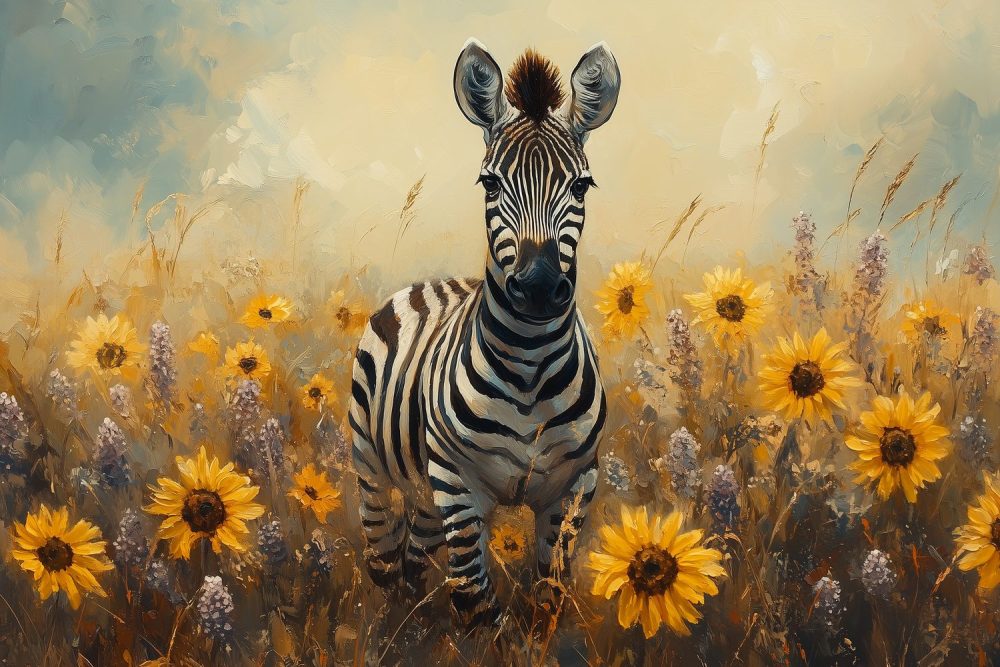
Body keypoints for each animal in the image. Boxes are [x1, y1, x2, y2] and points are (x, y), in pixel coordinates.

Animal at [349, 38, 620, 627]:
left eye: (582, 185)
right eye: (490, 182)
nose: (538, 289)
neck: (530, 367)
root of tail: (433, 281)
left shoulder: (575, 487)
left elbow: (547, 599)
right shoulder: (458, 484)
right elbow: (475, 601)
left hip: (425, 493)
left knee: (415, 563)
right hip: (373, 471)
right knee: (384, 565)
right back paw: (390, 632)